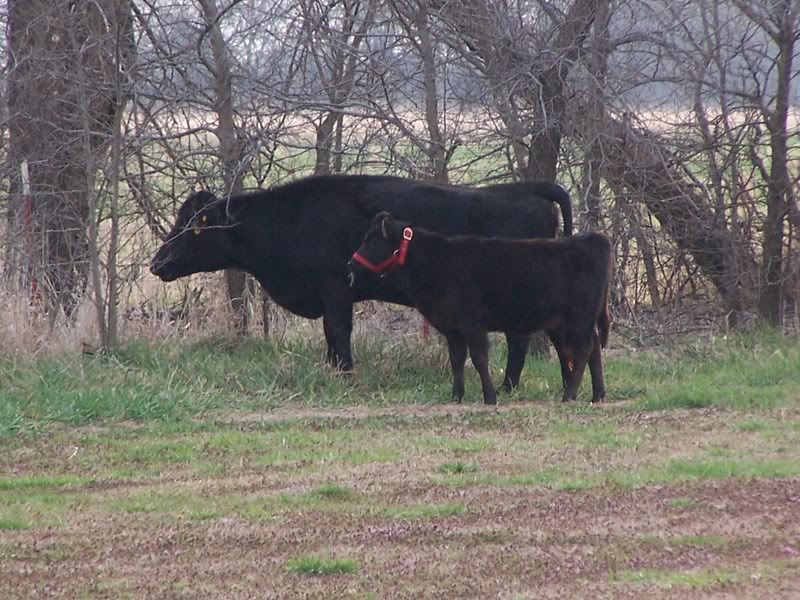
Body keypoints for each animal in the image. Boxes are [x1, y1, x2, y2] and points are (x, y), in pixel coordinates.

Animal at [150, 174, 572, 390]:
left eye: (193, 227)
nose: (157, 263)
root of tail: (524, 187)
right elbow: (329, 335)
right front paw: (333, 370)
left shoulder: (335, 288)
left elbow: (339, 332)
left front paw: (346, 375)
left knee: (519, 340)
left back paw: (507, 387)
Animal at [348, 211, 612, 405]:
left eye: (370, 240)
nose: (350, 263)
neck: (435, 261)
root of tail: (592, 240)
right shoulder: (452, 329)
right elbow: (456, 360)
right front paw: (456, 396)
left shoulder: (472, 324)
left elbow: (479, 359)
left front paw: (490, 397)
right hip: (574, 321)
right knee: (594, 348)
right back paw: (597, 395)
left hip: (578, 318)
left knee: (584, 349)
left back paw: (570, 395)